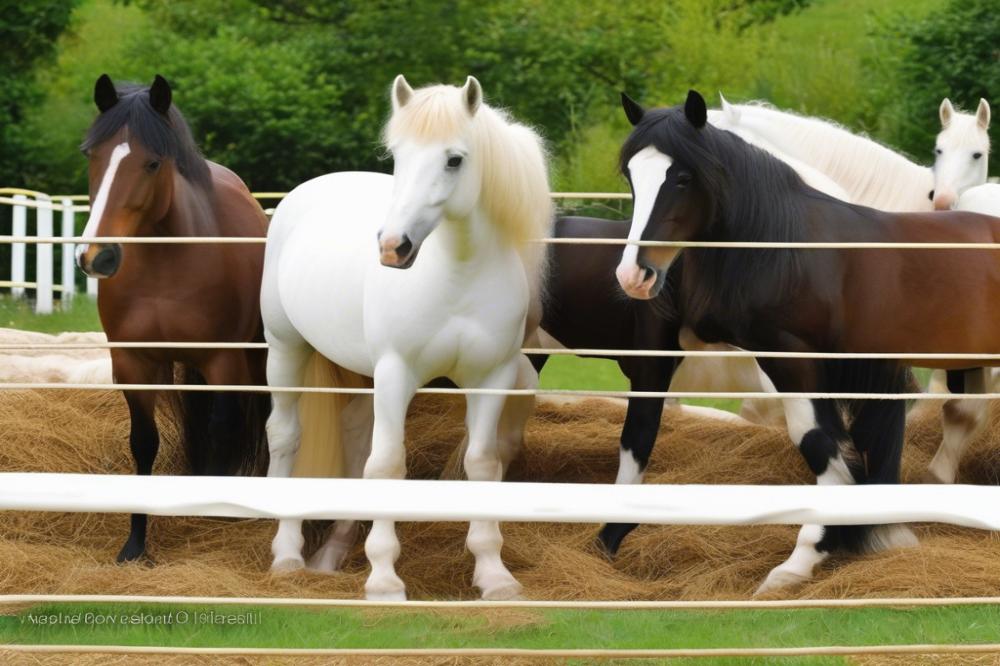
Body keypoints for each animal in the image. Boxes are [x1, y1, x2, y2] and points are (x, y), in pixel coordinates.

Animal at [76, 72, 270, 560]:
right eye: (92, 156)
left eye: (152, 163)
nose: (96, 256)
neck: (164, 267)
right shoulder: (132, 364)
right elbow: (143, 443)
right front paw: (134, 544)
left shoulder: (223, 361)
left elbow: (224, 427)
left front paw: (215, 511)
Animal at [262, 75, 552, 600]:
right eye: (397, 155)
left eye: (454, 159)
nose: (393, 248)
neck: (456, 277)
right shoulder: (396, 373)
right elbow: (389, 465)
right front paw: (383, 579)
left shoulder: (491, 378)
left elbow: (482, 462)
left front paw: (494, 574)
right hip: (285, 349)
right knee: (286, 436)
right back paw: (288, 555)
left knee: (354, 433)